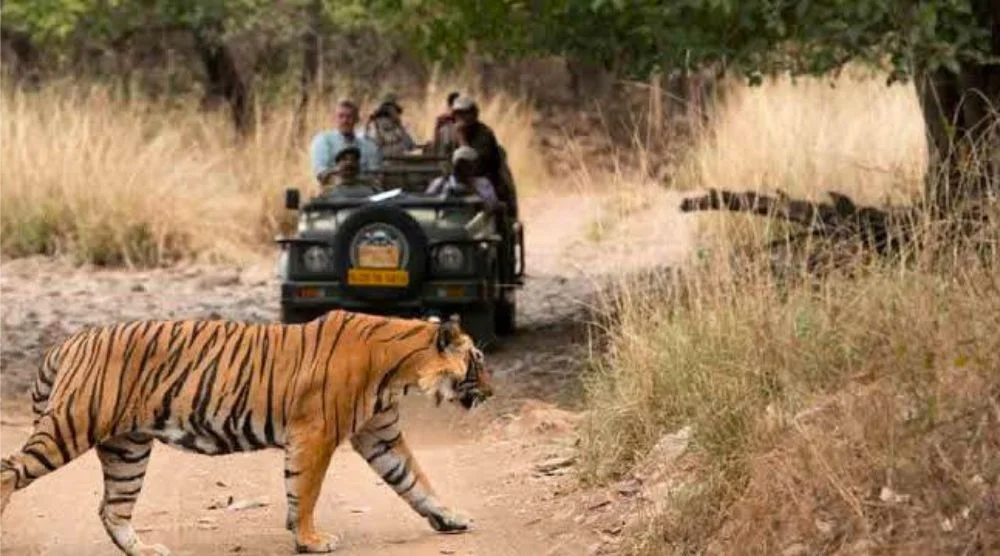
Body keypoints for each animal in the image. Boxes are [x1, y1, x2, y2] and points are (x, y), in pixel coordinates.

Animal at [0, 309, 492, 555]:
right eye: (479, 360)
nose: (491, 391)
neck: (399, 370)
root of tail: (69, 341)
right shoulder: (315, 433)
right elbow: (306, 491)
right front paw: (310, 540)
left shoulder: (380, 435)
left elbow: (415, 480)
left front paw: (451, 518)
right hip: (71, 425)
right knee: (10, 468)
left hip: (128, 450)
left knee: (112, 509)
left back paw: (147, 550)